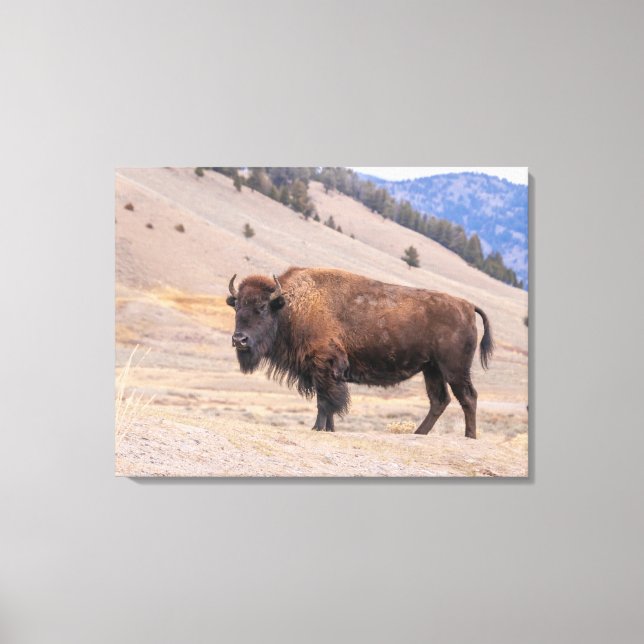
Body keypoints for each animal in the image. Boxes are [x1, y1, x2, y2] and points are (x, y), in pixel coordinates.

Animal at [226, 267, 493, 438]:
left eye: (262, 306)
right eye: (237, 306)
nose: (239, 340)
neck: (291, 306)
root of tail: (467, 306)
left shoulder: (325, 365)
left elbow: (325, 401)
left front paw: (317, 428)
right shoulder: (322, 371)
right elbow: (329, 402)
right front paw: (329, 429)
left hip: (454, 369)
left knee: (468, 397)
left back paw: (469, 436)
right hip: (432, 369)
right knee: (440, 400)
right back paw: (420, 433)